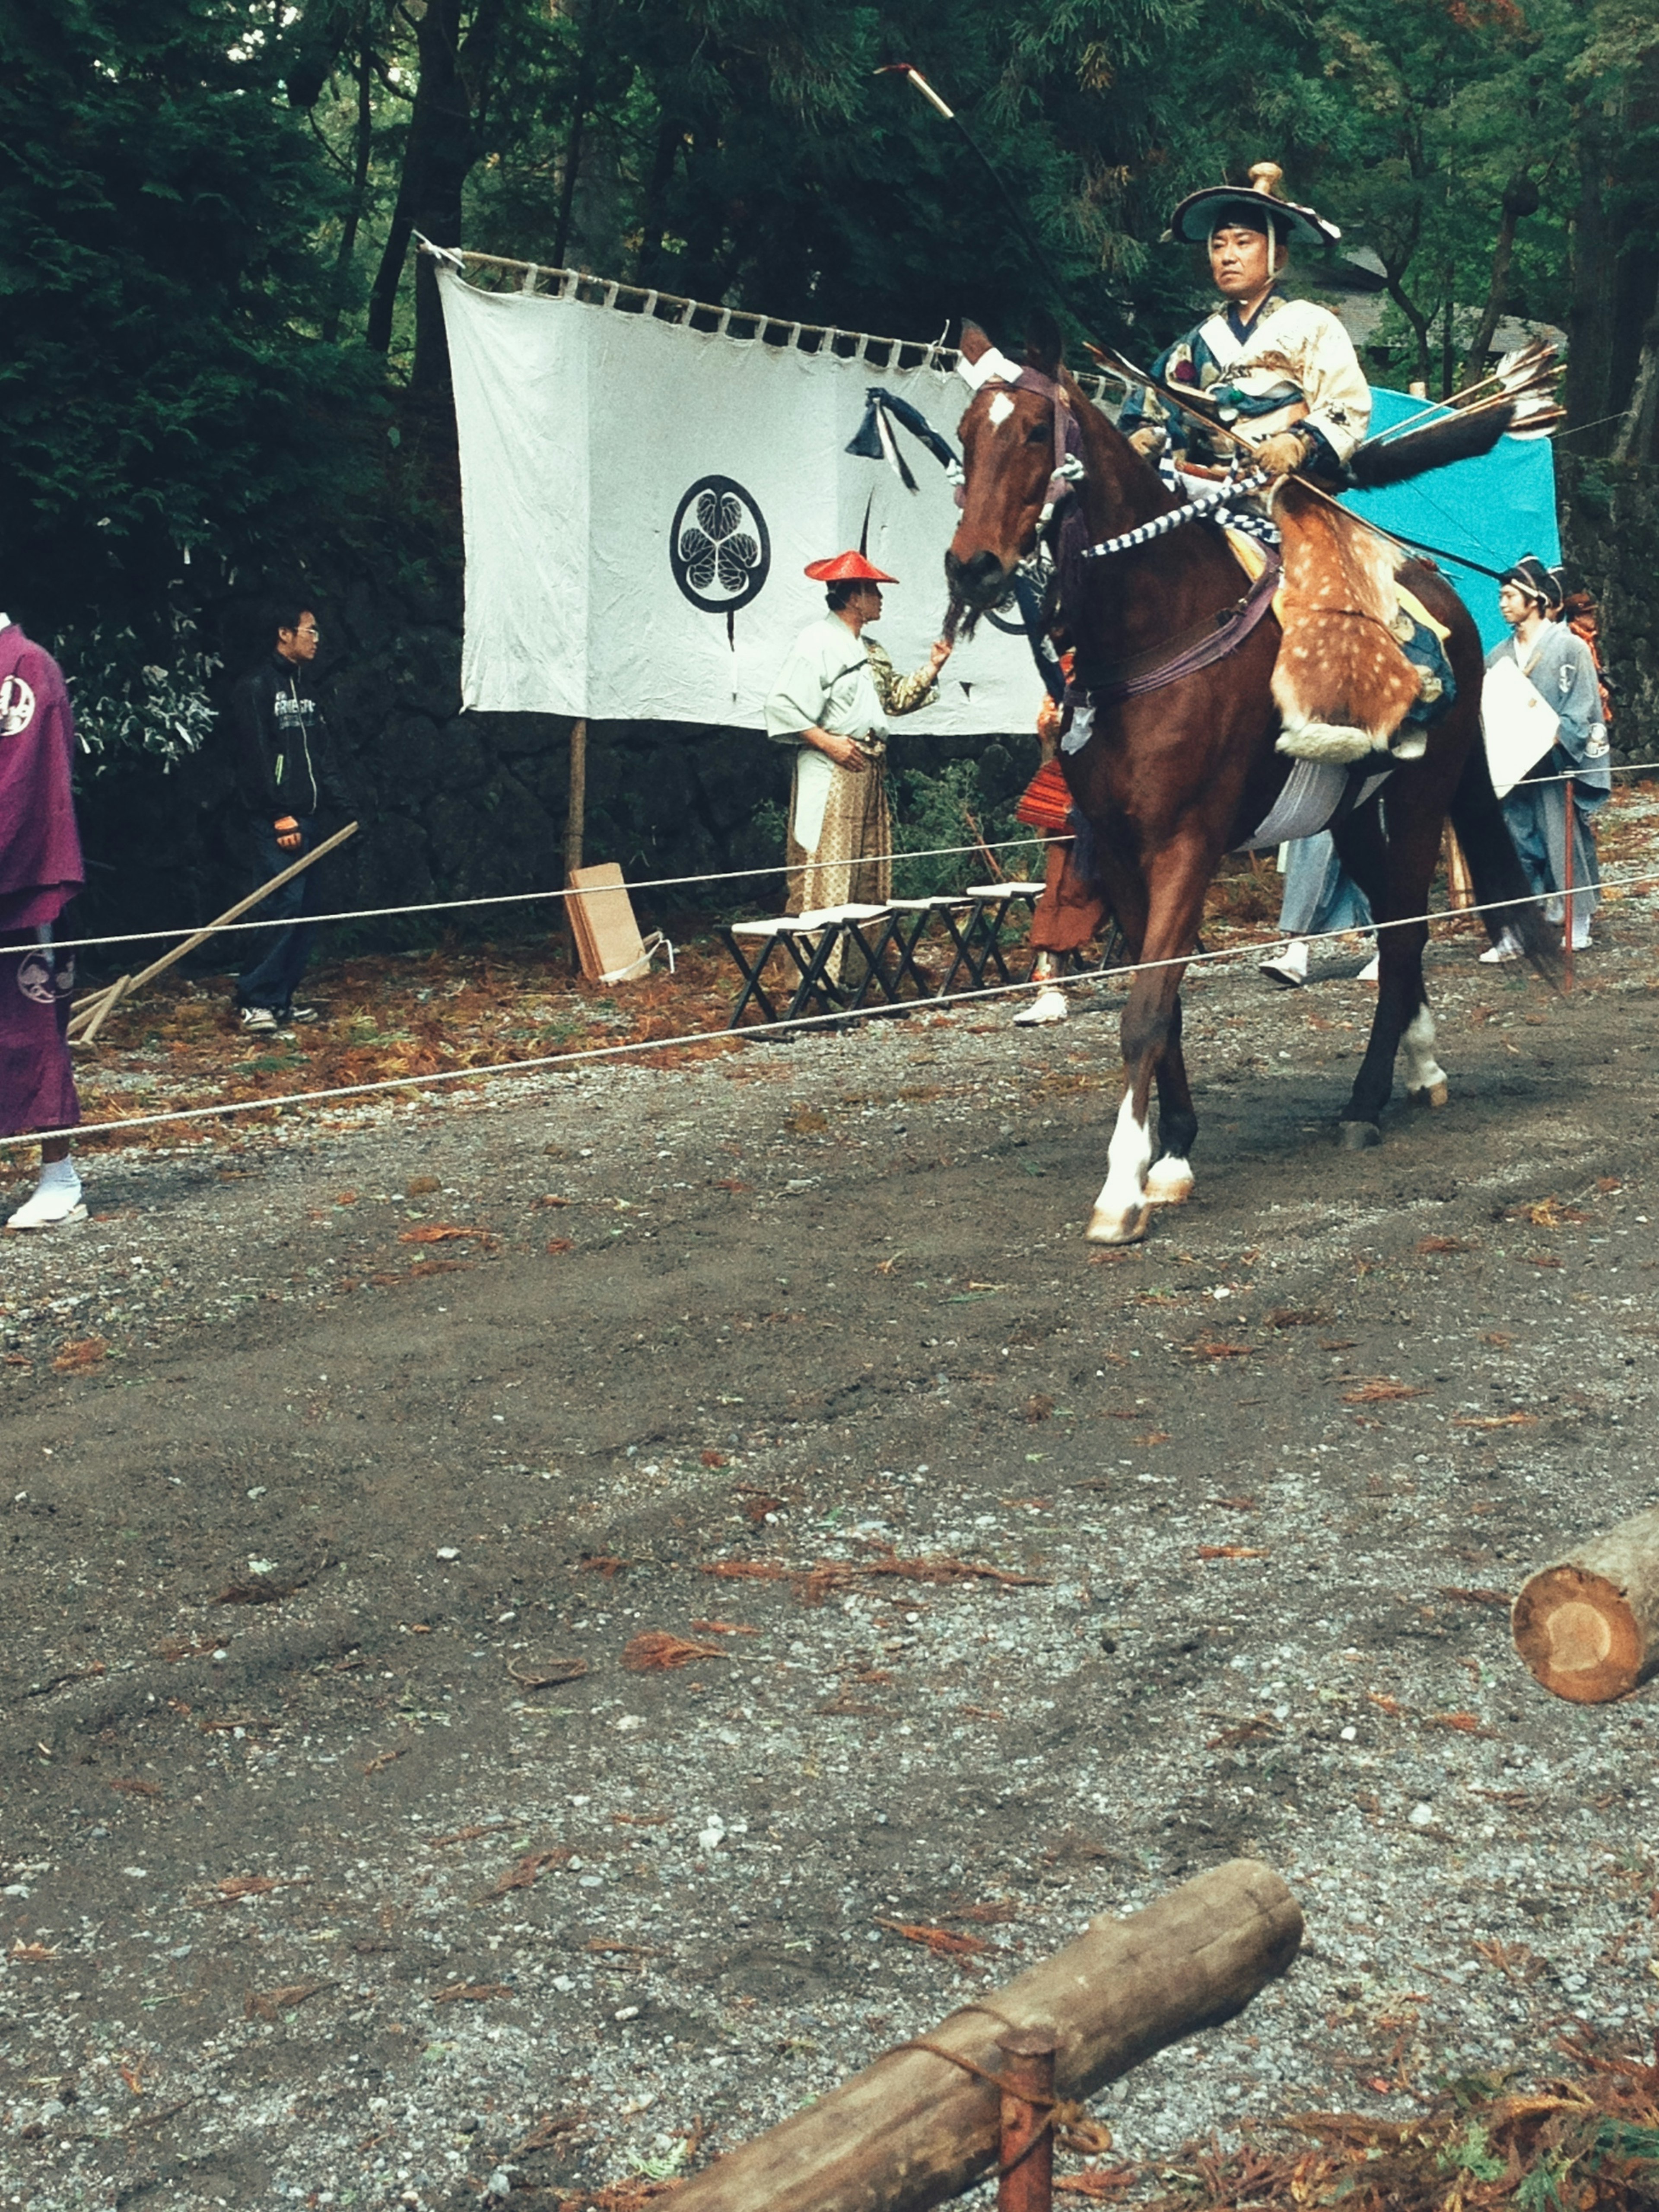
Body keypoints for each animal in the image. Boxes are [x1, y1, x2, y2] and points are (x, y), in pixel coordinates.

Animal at [947, 329, 1557, 1265]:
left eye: (1035, 437)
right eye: (965, 436)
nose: (971, 567)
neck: (1154, 628)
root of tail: (1448, 604)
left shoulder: (1186, 844)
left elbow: (1145, 1010)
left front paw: (1122, 1191)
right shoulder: (1117, 848)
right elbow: (1164, 1010)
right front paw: (1172, 1151)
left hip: (1421, 795)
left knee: (1405, 933)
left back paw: (1366, 1102)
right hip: (1351, 815)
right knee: (1396, 928)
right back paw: (1419, 1064)